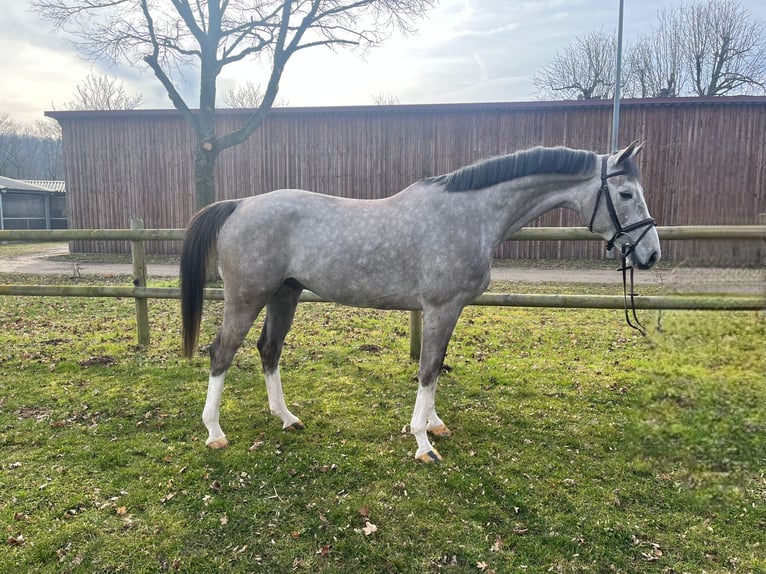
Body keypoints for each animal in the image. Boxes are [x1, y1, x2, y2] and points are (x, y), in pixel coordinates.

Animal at [180, 141, 660, 463]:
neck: (470, 215)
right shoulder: (440, 307)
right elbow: (428, 370)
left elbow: (436, 365)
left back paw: (286, 417)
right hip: (247, 298)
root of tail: (239, 204)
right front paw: (423, 442)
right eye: (626, 194)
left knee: (269, 350)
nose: (651, 254)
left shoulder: (449, 311)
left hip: (286, 294)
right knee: (221, 352)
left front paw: (433, 424)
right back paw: (214, 431)